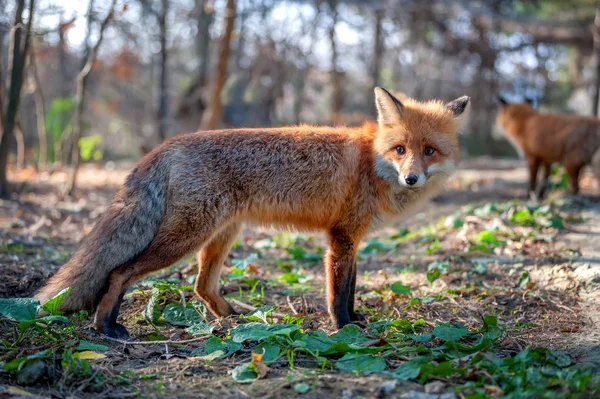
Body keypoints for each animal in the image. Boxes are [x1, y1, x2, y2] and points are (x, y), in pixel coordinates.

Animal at [35, 87, 472, 338]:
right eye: (400, 149)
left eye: (429, 151)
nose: (412, 178)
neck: (371, 162)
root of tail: (170, 143)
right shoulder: (341, 237)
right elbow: (337, 293)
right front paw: (344, 328)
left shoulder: (353, 238)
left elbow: (351, 288)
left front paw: (356, 320)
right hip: (186, 237)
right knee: (119, 272)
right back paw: (106, 327)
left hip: (222, 235)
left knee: (202, 286)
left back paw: (235, 320)